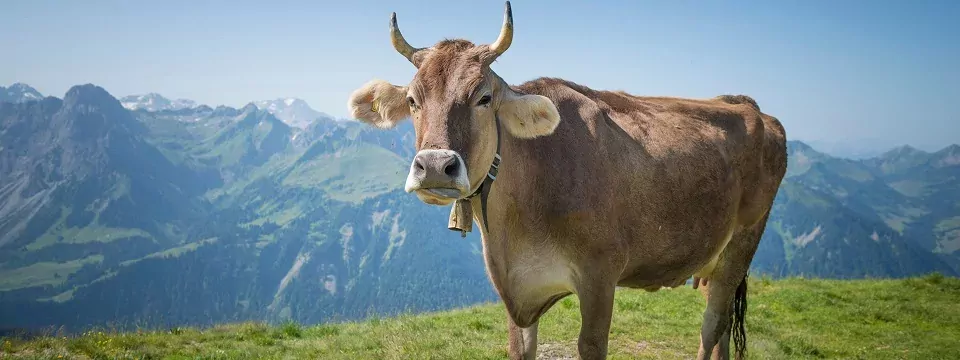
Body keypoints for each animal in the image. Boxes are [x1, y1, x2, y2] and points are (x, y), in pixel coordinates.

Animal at [344, 3, 788, 360]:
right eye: (413, 101)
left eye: (484, 98)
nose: (435, 166)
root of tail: (750, 106)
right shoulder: (515, 289)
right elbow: (520, 348)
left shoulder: (600, 275)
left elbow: (590, 345)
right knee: (722, 327)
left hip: (742, 244)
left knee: (712, 325)